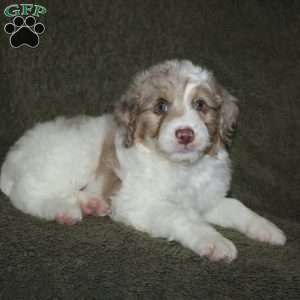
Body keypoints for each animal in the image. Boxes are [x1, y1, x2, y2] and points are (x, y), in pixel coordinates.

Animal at [0, 60, 286, 260]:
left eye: (200, 105)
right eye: (160, 107)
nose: (185, 134)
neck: (183, 169)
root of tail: (12, 158)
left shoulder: (208, 201)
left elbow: (237, 207)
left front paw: (267, 229)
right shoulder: (140, 203)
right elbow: (183, 217)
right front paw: (215, 242)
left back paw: (92, 203)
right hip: (71, 158)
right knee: (26, 193)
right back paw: (63, 210)